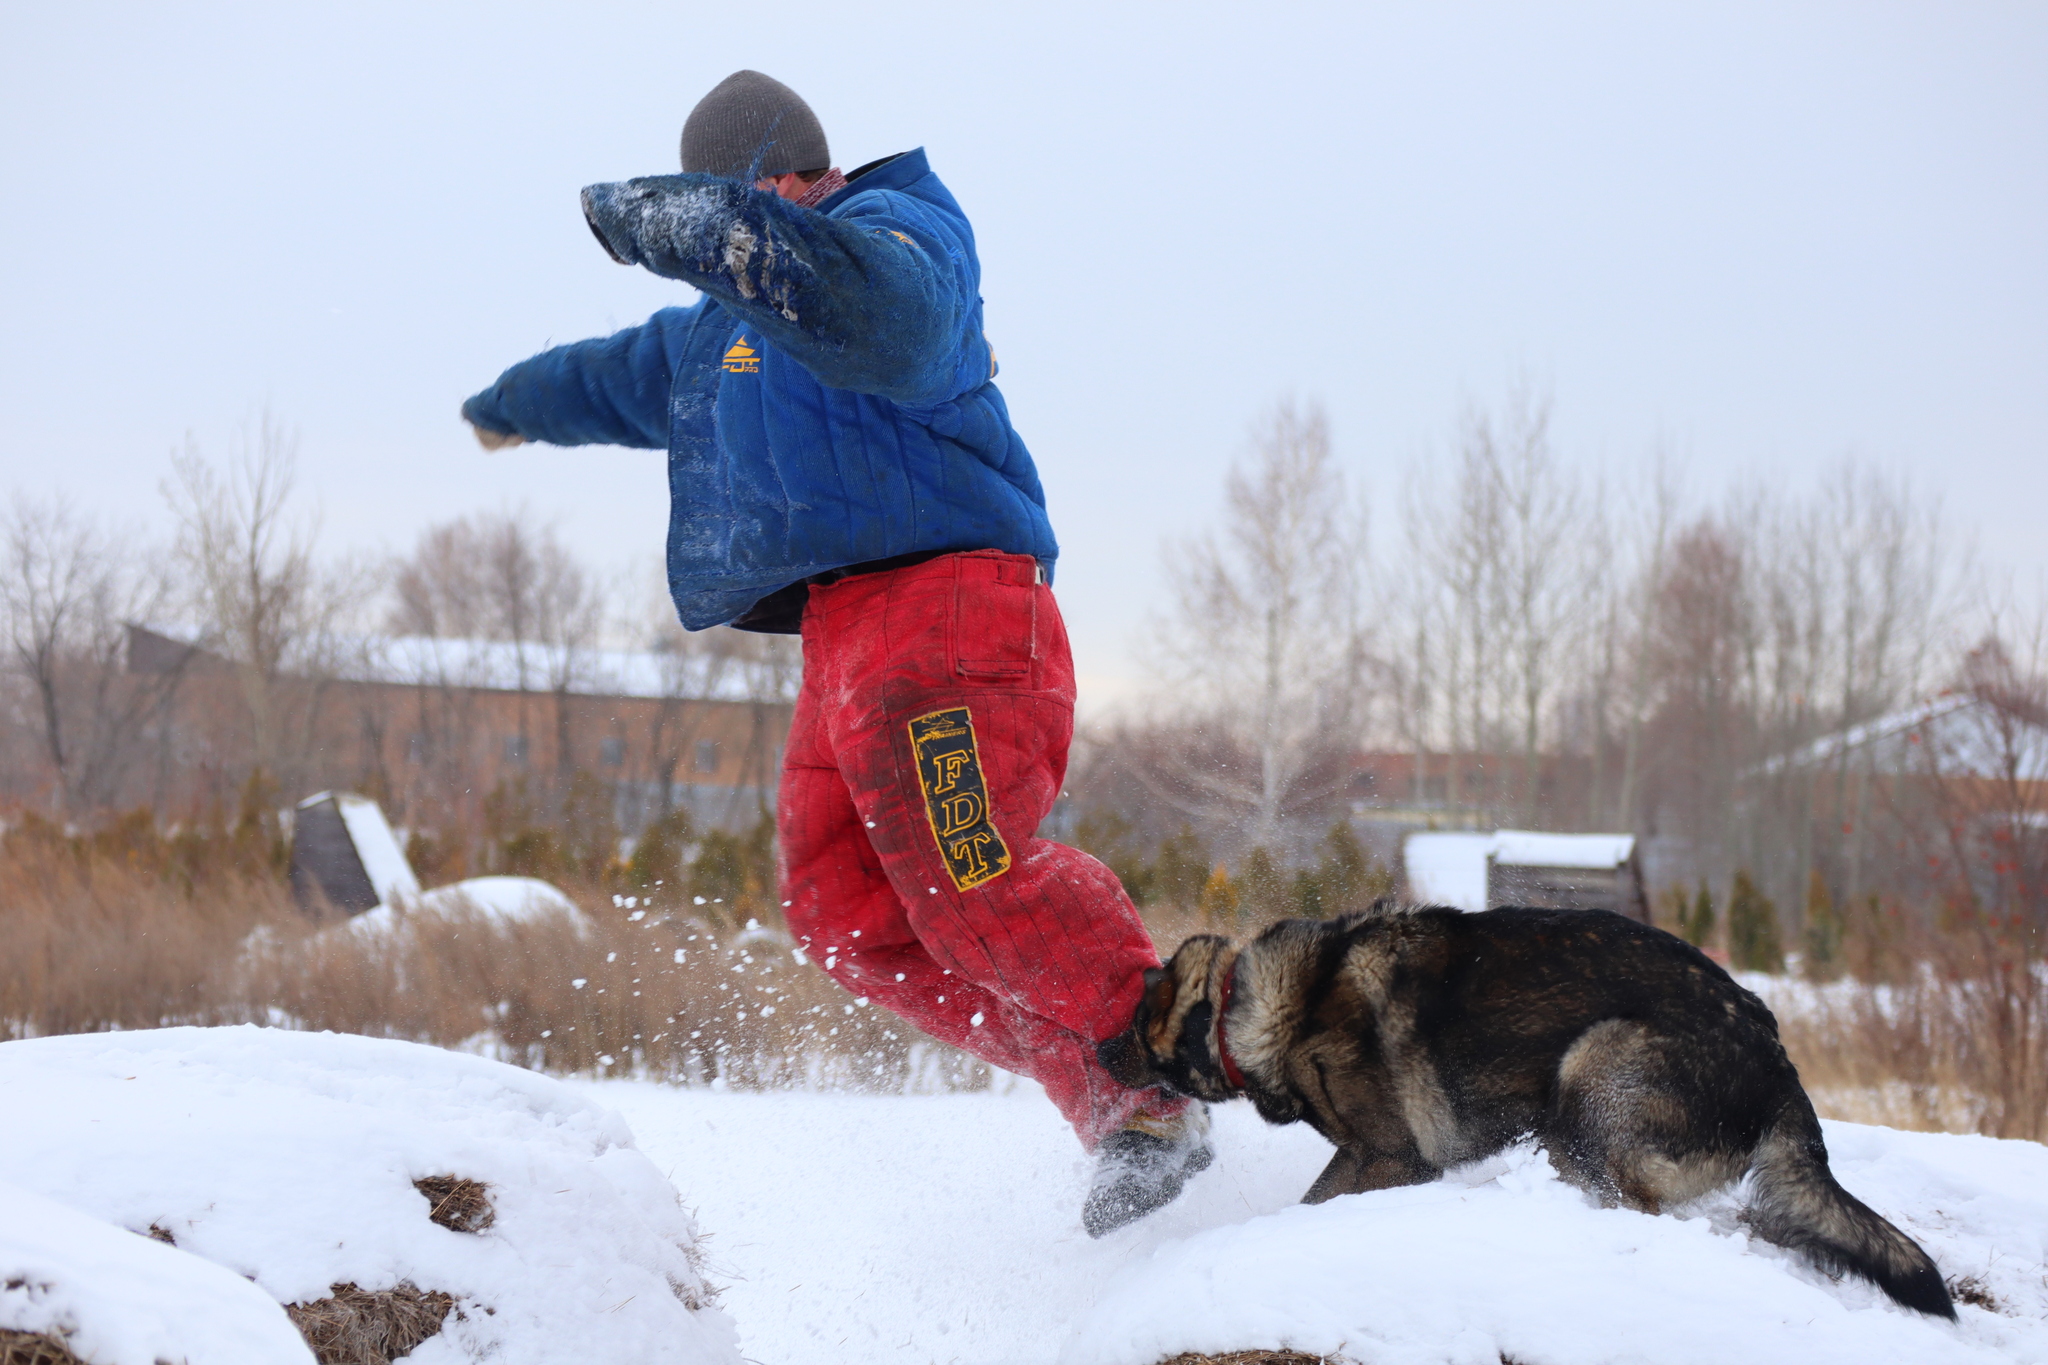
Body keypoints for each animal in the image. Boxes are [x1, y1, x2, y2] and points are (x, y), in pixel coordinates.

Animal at [1105, 900, 1949, 1317]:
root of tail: (1779, 1066)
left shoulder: (1388, 1156)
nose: (1099, 1052)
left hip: (1592, 1084)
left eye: (1135, 1028)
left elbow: (1312, 1203)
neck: (1245, 1007)